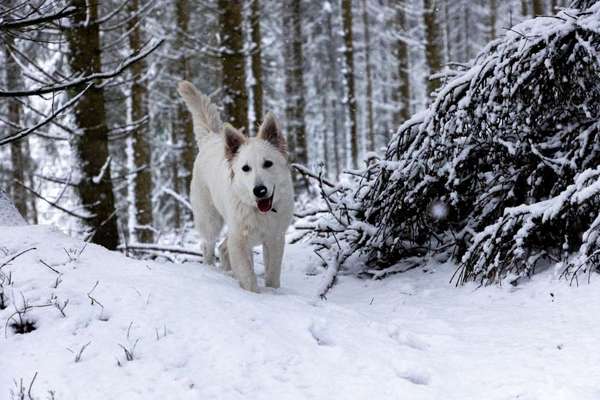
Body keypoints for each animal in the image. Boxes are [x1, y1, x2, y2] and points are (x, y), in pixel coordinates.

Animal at [176, 82, 292, 294]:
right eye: (245, 168)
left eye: (268, 164)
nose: (259, 190)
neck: (258, 210)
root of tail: (211, 138)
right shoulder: (239, 241)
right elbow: (248, 276)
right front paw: (254, 294)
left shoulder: (275, 239)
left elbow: (272, 276)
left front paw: (273, 292)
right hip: (210, 220)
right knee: (208, 247)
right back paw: (210, 271)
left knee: (222, 248)